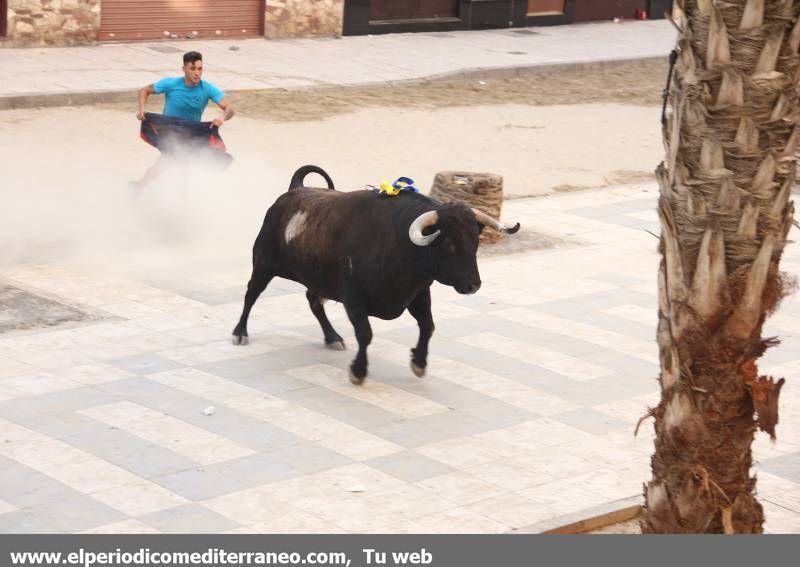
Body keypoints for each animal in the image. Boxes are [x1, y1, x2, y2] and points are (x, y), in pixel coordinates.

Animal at [233, 165, 520, 386]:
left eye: (475, 242)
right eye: (449, 245)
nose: (473, 285)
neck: (399, 241)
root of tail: (294, 191)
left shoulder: (418, 293)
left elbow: (427, 326)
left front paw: (419, 363)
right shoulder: (353, 297)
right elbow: (365, 333)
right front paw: (358, 372)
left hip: (317, 278)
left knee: (313, 302)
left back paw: (332, 337)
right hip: (263, 263)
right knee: (251, 294)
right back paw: (240, 332)